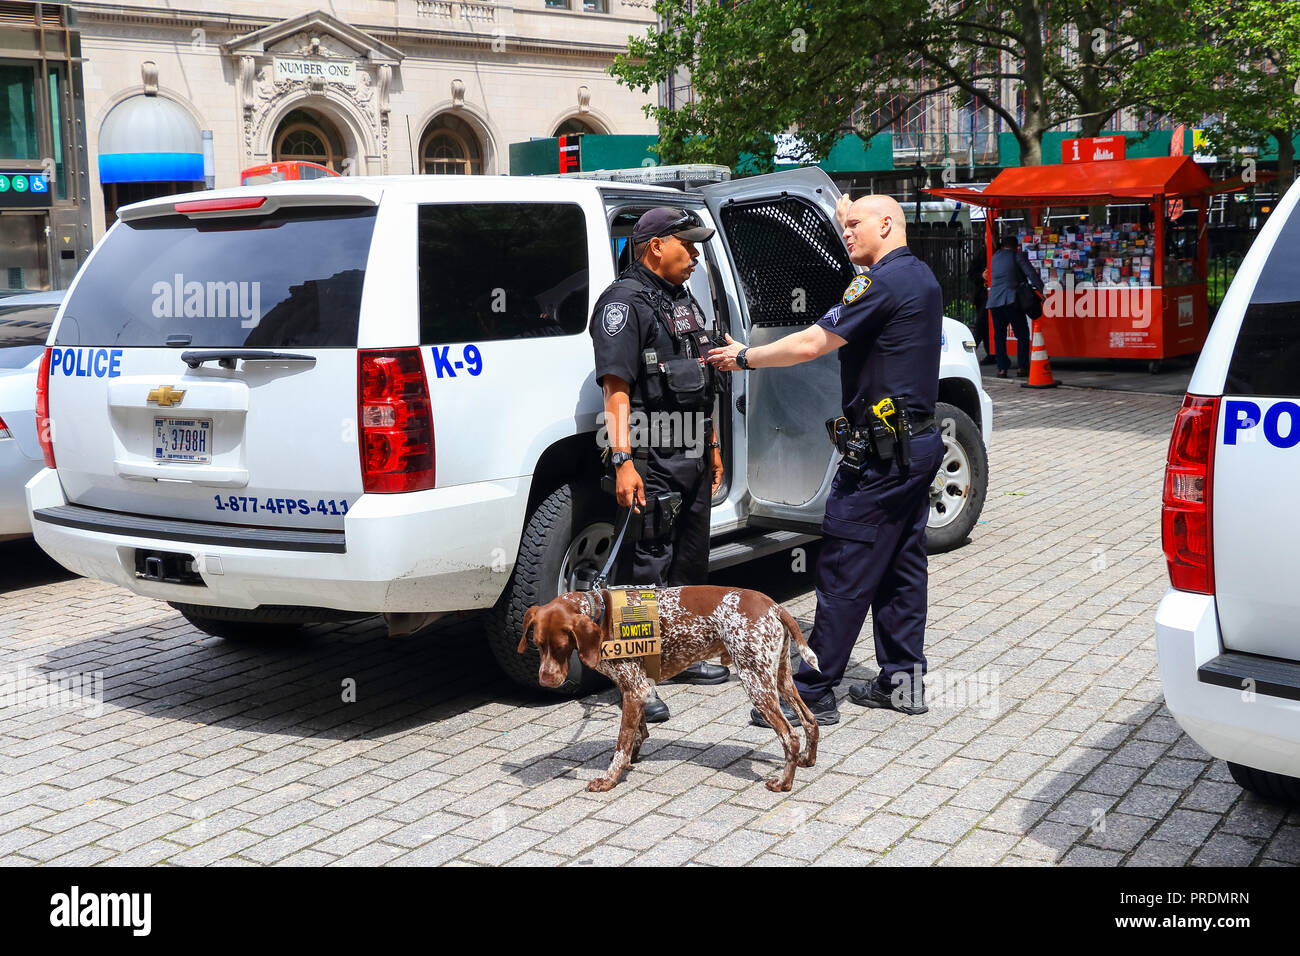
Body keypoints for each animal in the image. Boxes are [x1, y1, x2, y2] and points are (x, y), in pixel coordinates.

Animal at [512, 587, 816, 796]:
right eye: (537, 644)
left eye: (561, 647)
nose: (545, 681)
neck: (601, 614)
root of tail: (773, 605)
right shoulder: (634, 690)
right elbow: (636, 733)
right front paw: (630, 760)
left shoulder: (635, 689)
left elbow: (622, 742)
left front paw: (610, 778)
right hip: (780, 679)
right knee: (810, 720)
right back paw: (808, 760)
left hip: (756, 682)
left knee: (790, 735)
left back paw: (784, 782)